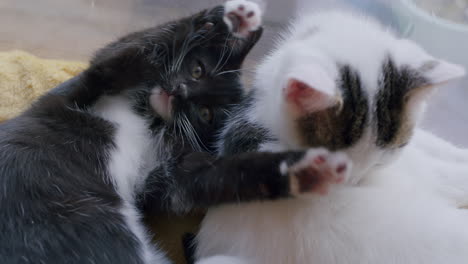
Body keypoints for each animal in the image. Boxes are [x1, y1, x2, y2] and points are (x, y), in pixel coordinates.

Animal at [0, 1, 324, 262]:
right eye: (197, 70)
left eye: (204, 113)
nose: (179, 92)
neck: (151, 119)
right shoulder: (84, 87)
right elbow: (127, 50)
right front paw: (226, 20)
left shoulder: (170, 180)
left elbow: (214, 177)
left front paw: (305, 168)